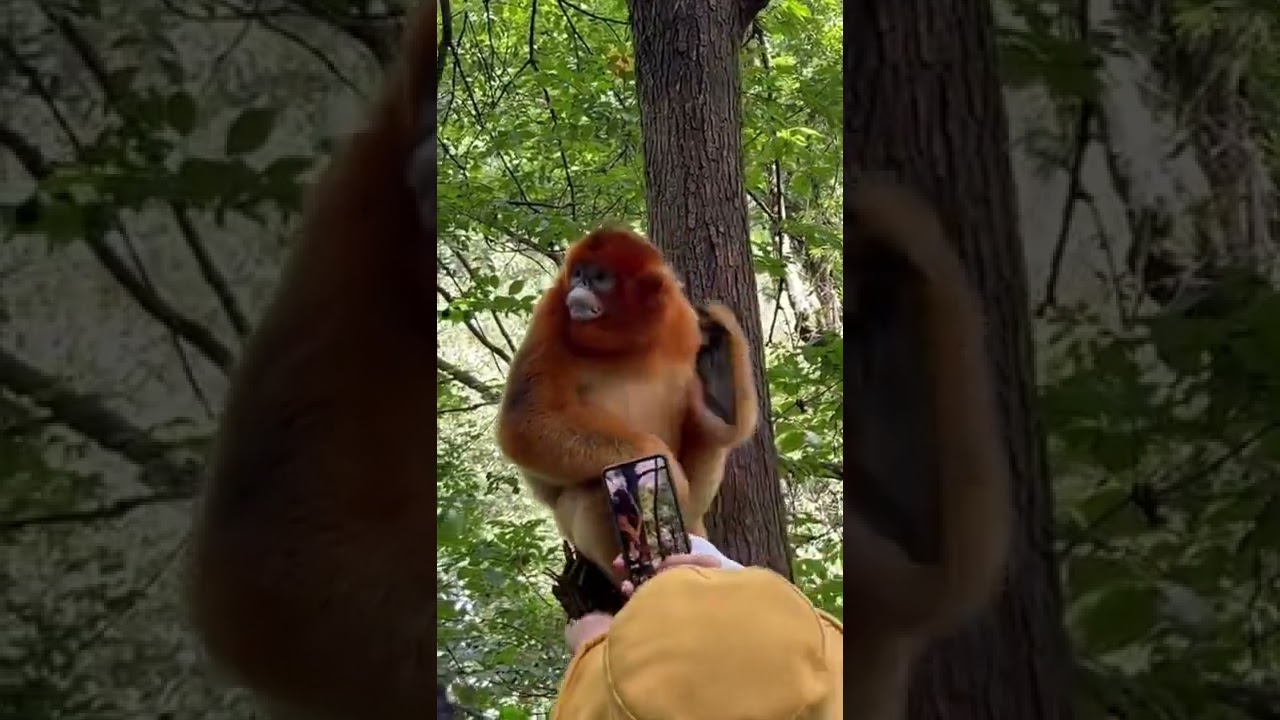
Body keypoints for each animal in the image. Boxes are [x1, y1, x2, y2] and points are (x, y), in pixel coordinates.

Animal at [495, 227, 758, 577]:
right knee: (596, 492)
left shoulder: (682, 318)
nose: (579, 286)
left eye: (600, 277)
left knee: (715, 434)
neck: (628, 340)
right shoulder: (550, 313)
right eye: (578, 273)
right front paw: (666, 470)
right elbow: (525, 420)